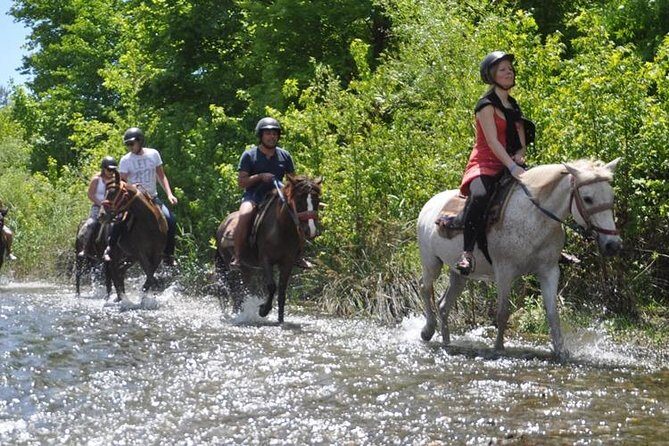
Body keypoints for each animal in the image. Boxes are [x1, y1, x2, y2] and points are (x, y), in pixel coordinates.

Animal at [102, 170, 168, 303]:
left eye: (113, 193)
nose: (102, 214)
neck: (150, 224)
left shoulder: (157, 254)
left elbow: (151, 272)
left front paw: (148, 293)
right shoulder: (141, 254)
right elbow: (149, 272)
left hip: (130, 256)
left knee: (120, 271)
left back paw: (121, 296)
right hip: (117, 253)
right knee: (114, 270)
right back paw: (121, 297)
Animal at [215, 174, 322, 323]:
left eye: (317, 200)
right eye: (299, 200)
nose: (311, 230)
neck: (281, 229)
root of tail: (223, 224)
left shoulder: (287, 262)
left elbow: (282, 290)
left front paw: (281, 320)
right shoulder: (266, 260)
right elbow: (272, 286)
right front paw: (263, 310)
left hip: (247, 268)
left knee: (242, 289)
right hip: (230, 266)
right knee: (235, 290)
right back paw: (237, 315)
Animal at [417, 158, 622, 359]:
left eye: (611, 196)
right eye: (587, 198)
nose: (613, 245)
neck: (534, 217)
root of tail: (429, 204)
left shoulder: (549, 271)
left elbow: (552, 313)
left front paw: (561, 351)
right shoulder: (504, 272)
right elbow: (503, 312)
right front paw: (498, 349)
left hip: (460, 274)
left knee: (444, 305)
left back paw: (447, 342)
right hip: (431, 263)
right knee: (424, 288)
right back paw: (427, 331)